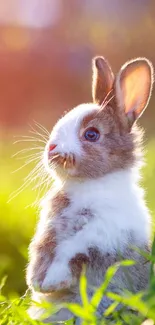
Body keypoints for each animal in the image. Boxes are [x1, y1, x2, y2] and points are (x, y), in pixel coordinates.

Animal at [26, 55, 154, 322]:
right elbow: (41, 249)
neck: (88, 184)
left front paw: (51, 282)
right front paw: (36, 283)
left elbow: (71, 253)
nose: (51, 148)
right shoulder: (48, 229)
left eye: (92, 134)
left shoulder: (99, 237)